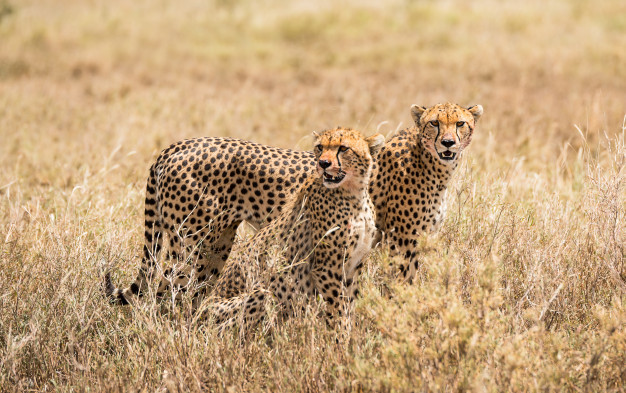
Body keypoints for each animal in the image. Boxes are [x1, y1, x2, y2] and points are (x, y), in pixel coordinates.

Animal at [105, 102, 480, 302]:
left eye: (461, 123)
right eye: (435, 123)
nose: (448, 143)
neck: (432, 163)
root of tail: (179, 144)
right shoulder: (402, 243)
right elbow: (403, 287)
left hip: (218, 242)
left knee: (195, 288)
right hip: (191, 239)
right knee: (167, 288)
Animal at [197, 127, 382, 326]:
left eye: (343, 148)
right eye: (320, 147)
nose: (323, 163)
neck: (355, 194)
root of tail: (199, 310)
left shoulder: (353, 266)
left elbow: (349, 305)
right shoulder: (327, 268)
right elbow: (338, 310)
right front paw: (341, 333)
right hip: (260, 292)